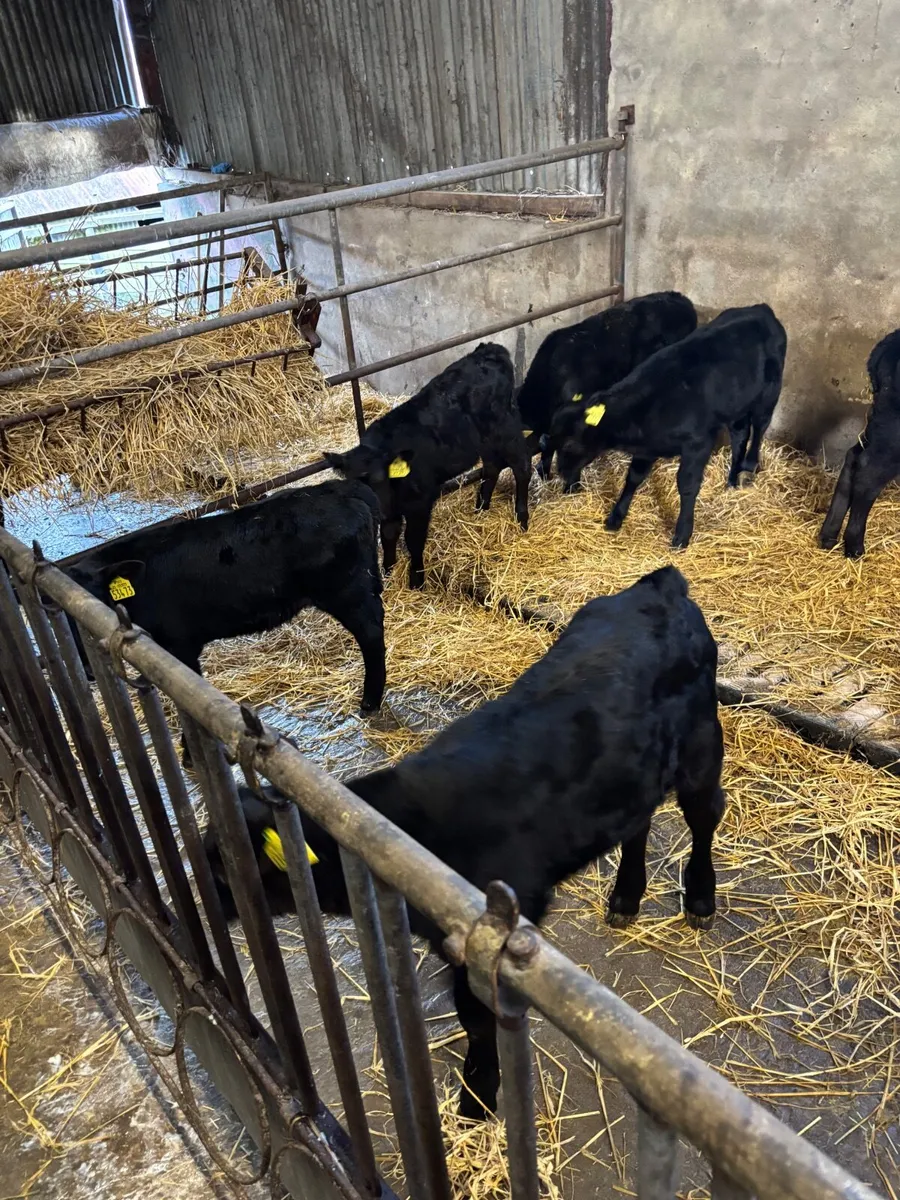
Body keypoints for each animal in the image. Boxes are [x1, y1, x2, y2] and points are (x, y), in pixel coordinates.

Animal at [63, 481, 387, 762]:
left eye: (103, 601)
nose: (88, 669)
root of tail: (343, 487)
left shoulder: (179, 645)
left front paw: (191, 753)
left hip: (347, 591)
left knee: (371, 633)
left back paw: (369, 702)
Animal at [202, 566, 725, 1119]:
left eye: (223, 867)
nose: (201, 900)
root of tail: (659, 584)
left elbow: (477, 1016)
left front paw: (478, 1094)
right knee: (639, 822)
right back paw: (626, 896)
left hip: (701, 747)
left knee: (705, 816)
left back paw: (699, 898)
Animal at [326, 343, 531, 589]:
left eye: (380, 478)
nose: (373, 509)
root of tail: (489, 349)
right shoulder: (391, 510)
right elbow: (388, 535)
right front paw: (388, 571)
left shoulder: (420, 503)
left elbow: (413, 540)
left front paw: (416, 580)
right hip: (485, 439)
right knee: (492, 466)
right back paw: (481, 509)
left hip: (505, 426)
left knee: (521, 465)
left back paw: (522, 518)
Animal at [551, 303, 788, 547]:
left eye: (569, 444)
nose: (561, 472)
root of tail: (761, 308)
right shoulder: (647, 447)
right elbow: (634, 476)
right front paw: (616, 517)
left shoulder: (698, 443)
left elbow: (687, 484)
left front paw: (682, 534)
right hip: (737, 403)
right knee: (740, 434)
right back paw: (732, 479)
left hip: (769, 394)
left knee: (759, 428)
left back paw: (748, 467)